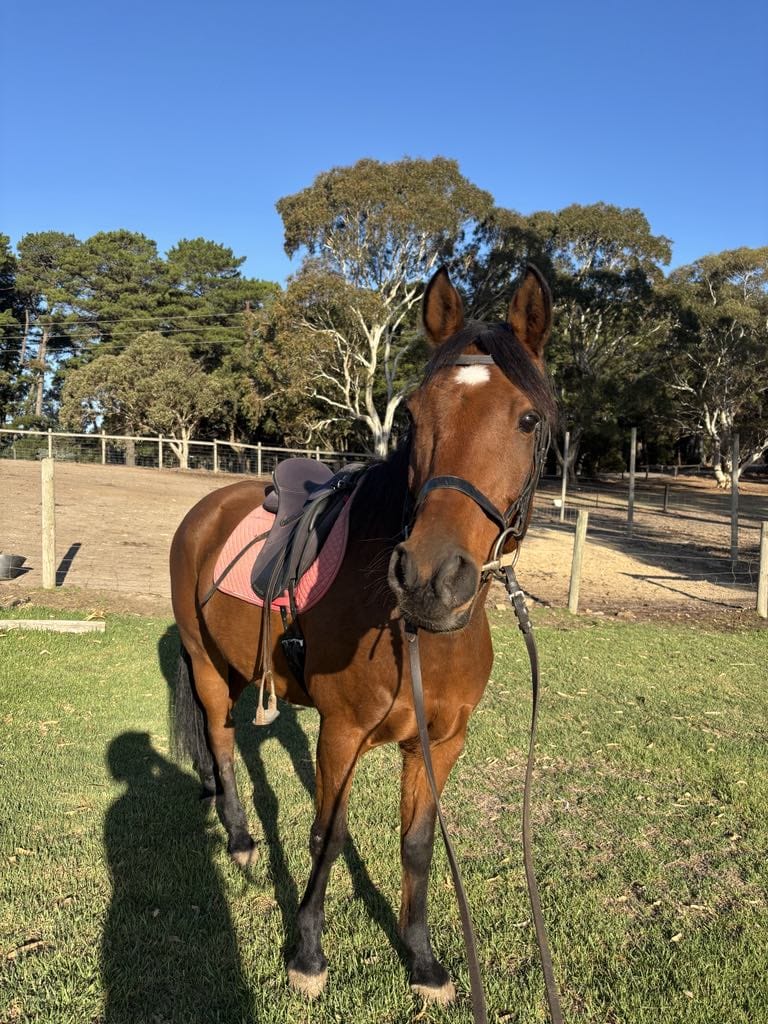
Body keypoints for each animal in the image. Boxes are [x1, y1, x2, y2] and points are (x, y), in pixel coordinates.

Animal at [169, 265, 557, 1009]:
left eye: (527, 420)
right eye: (414, 416)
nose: (430, 578)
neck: (419, 637)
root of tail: (205, 510)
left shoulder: (440, 744)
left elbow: (417, 845)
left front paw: (424, 961)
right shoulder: (342, 733)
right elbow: (328, 835)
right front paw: (308, 956)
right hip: (206, 668)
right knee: (222, 744)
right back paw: (239, 839)